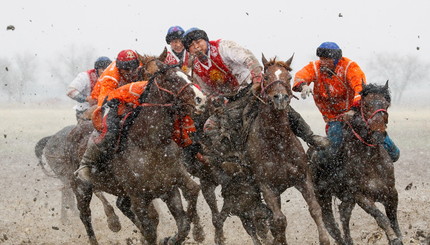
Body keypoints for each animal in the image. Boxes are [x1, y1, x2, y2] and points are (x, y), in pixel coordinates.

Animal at [72, 61, 207, 245]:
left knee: (121, 205)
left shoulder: (170, 186)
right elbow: (150, 230)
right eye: (172, 79)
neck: (152, 145)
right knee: (85, 215)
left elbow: (185, 218)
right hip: (81, 188)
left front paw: (171, 239)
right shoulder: (138, 197)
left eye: (189, 77)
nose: (201, 100)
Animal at [244, 55, 330, 245]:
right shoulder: (267, 186)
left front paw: (324, 238)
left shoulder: (303, 178)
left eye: (289, 78)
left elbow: (315, 208)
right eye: (266, 76)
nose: (280, 98)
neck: (277, 144)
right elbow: (279, 220)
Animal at [310, 81, 404, 244]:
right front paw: (393, 238)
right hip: (322, 195)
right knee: (330, 223)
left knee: (344, 214)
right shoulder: (361, 196)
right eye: (365, 105)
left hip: (347, 198)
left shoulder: (391, 192)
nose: (378, 133)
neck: (372, 161)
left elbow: (393, 221)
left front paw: (397, 237)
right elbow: (382, 218)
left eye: (386, 104)